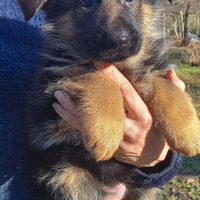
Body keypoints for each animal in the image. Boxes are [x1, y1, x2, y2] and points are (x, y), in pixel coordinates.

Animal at [18, 0, 199, 199]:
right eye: (84, 3)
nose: (119, 41)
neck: (121, 65)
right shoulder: (55, 86)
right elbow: (97, 76)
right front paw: (105, 131)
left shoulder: (149, 69)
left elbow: (164, 84)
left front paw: (188, 132)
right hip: (66, 175)